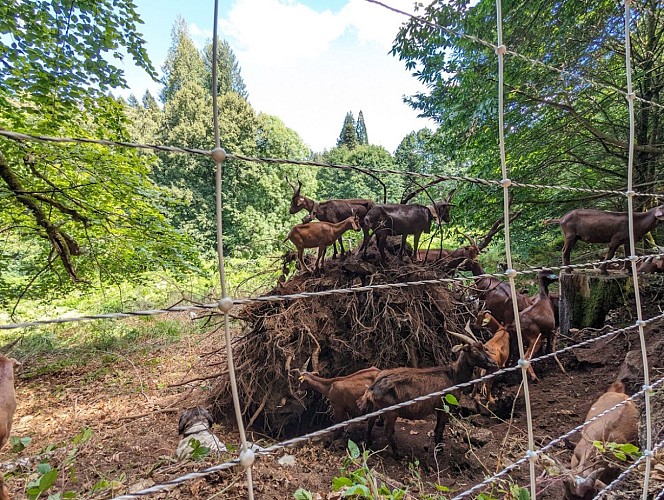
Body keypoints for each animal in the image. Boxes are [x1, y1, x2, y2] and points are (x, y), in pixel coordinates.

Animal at [356, 338, 496, 456]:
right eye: (474, 350)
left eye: (484, 348)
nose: (493, 363)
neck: (454, 376)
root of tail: (372, 388)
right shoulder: (445, 406)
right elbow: (439, 428)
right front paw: (439, 450)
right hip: (391, 411)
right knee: (387, 431)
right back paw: (397, 454)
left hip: (376, 407)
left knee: (370, 422)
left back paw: (367, 444)